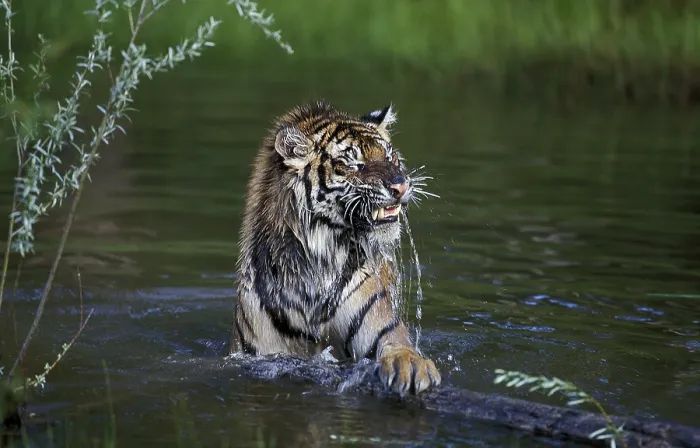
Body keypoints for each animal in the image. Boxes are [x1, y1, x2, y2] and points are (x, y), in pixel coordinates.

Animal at [231, 101, 441, 396]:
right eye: (355, 164)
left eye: (391, 158)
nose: (401, 186)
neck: (318, 261)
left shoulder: (379, 323)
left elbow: (399, 346)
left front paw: (410, 366)